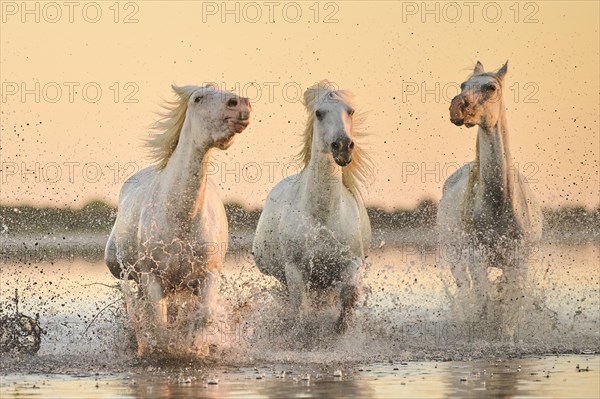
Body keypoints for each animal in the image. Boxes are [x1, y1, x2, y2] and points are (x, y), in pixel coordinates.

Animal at [105, 85, 251, 356]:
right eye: (198, 98)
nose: (240, 105)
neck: (180, 217)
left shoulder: (207, 276)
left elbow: (202, 316)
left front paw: (196, 348)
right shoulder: (153, 278)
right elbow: (159, 327)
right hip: (126, 272)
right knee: (136, 309)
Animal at [251, 80, 372, 334]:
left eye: (350, 111)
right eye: (319, 113)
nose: (343, 146)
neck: (323, 217)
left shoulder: (350, 264)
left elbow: (348, 296)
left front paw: (339, 330)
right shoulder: (295, 270)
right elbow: (301, 312)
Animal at [436, 60, 544, 328]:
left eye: (491, 87)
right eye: (463, 85)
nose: (457, 107)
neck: (500, 203)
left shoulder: (519, 261)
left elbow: (510, 307)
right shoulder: (476, 258)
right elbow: (483, 302)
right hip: (455, 256)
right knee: (466, 290)